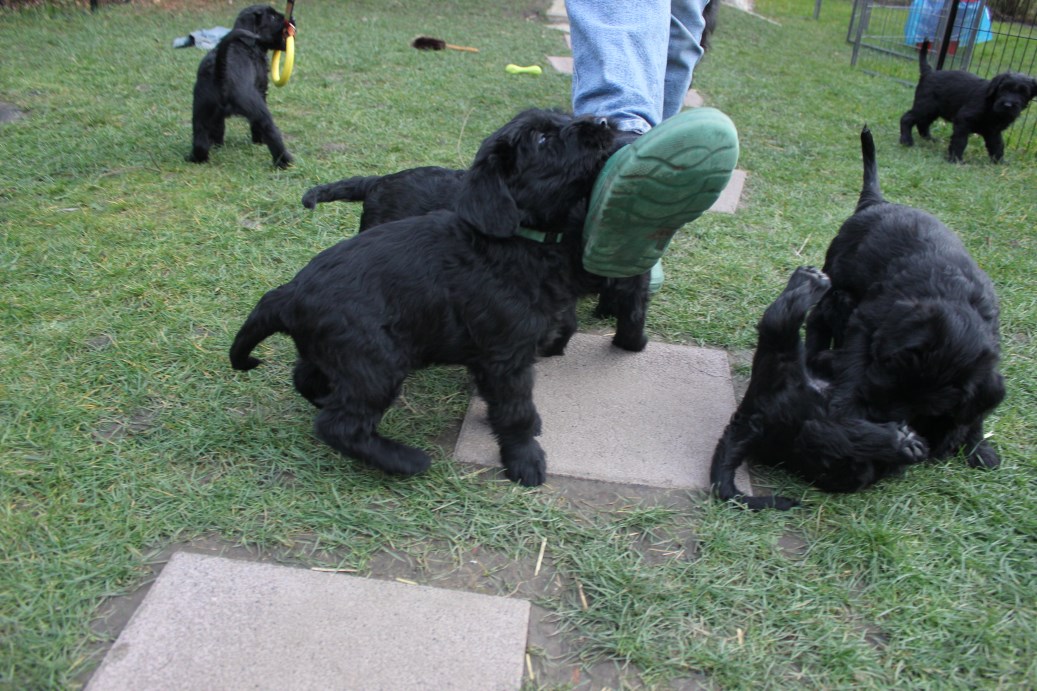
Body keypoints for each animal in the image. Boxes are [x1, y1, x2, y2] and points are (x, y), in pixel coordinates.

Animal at [188, 4, 294, 169]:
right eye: (272, 17)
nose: (291, 19)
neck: (246, 42)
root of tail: (220, 73)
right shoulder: (262, 90)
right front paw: (258, 141)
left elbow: (218, 127)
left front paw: (217, 144)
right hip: (257, 108)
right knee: (270, 130)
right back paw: (285, 161)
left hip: (201, 109)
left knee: (200, 136)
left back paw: (198, 157)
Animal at [709, 265, 929, 508]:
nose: (838, 297)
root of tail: (749, 416)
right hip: (801, 411)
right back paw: (900, 442)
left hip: (774, 363)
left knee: (775, 325)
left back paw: (805, 278)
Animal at [900, 40, 1037, 162]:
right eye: (1003, 88)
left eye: (1023, 92)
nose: (1008, 105)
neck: (991, 105)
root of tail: (929, 72)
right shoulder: (964, 120)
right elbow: (960, 141)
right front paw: (956, 159)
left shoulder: (994, 131)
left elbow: (998, 145)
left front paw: (1000, 162)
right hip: (926, 107)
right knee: (907, 118)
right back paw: (906, 141)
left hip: (933, 110)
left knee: (923, 123)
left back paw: (929, 138)